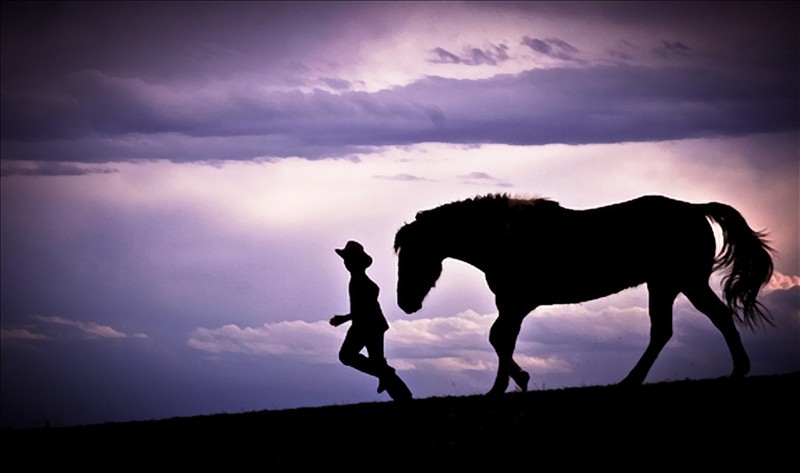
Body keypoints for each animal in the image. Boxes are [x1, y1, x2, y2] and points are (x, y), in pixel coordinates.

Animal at [393, 194, 774, 395]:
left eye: (411, 256)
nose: (405, 302)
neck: (505, 238)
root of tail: (695, 208)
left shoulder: (515, 303)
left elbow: (500, 339)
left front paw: (503, 386)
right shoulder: (512, 305)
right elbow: (499, 339)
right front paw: (515, 380)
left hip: (680, 282)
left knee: (698, 322)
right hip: (669, 284)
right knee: (676, 328)